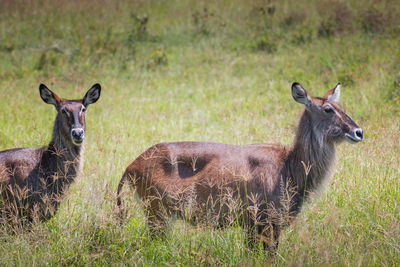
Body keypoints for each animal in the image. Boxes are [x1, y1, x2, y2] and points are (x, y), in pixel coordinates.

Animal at [115, 82, 362, 252]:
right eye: (328, 109)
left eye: (340, 106)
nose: (358, 132)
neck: (289, 166)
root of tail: (131, 165)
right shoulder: (261, 221)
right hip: (157, 214)